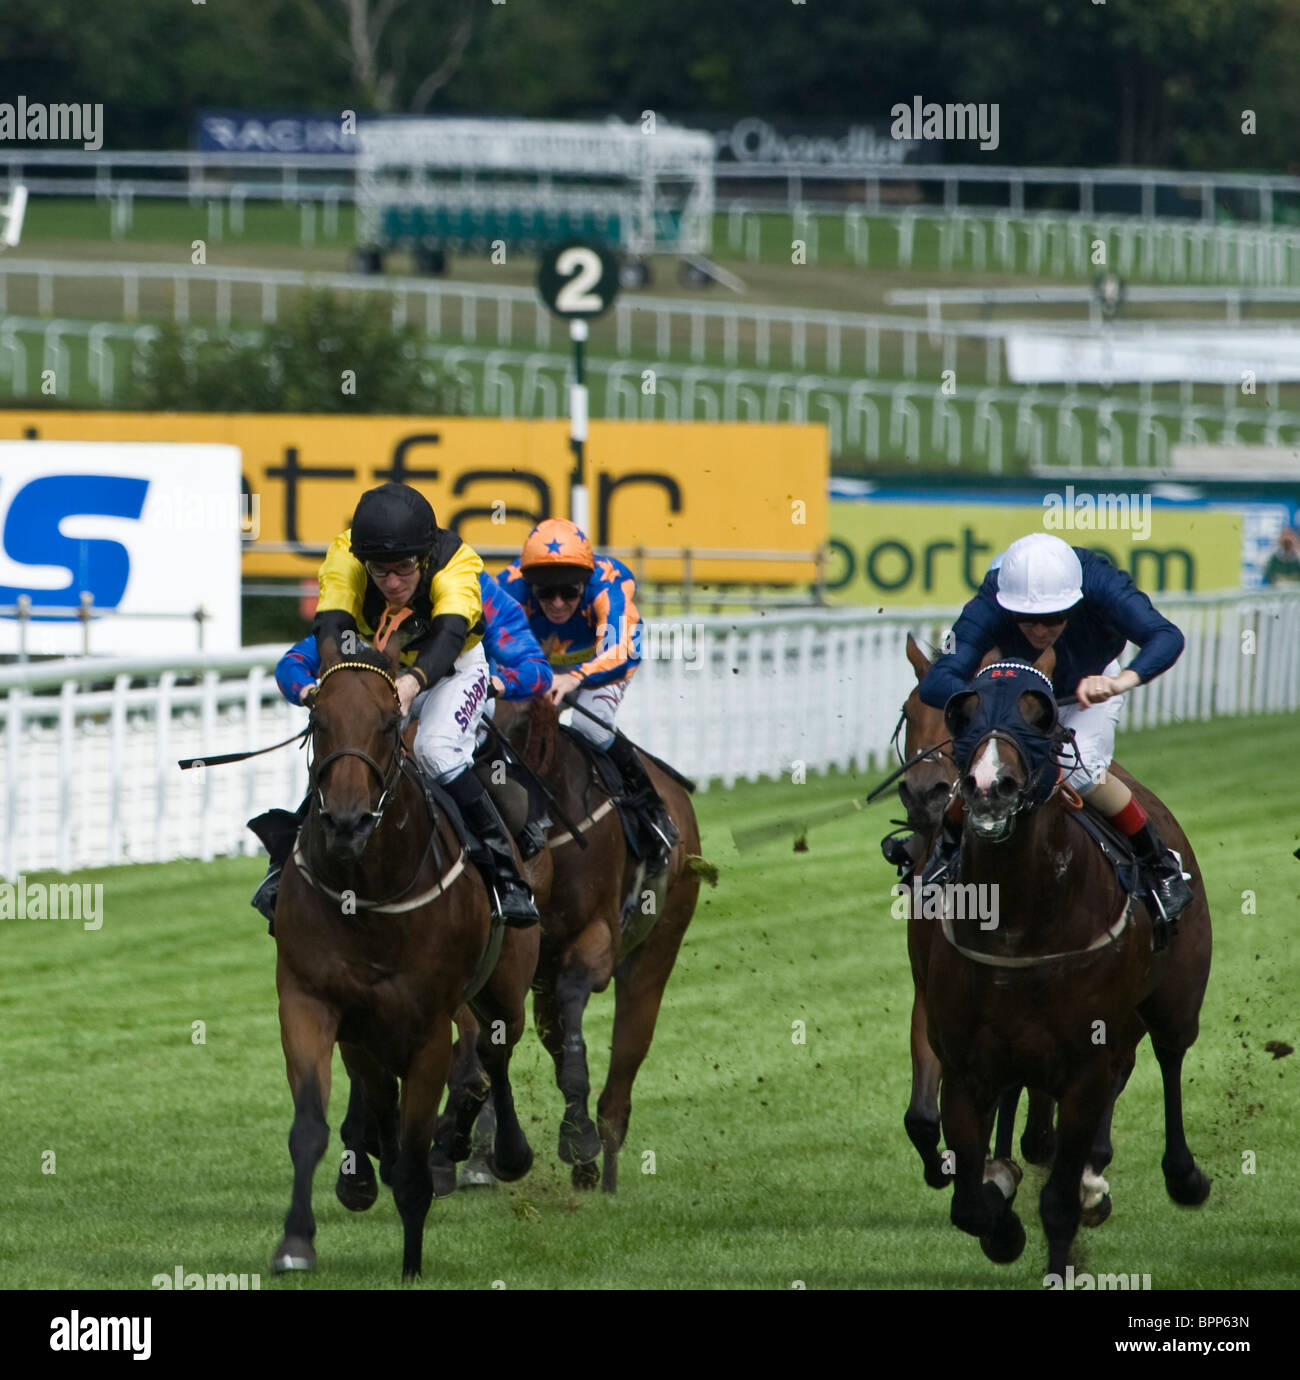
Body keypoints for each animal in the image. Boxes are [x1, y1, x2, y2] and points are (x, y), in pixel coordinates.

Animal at [271, 637, 538, 1280]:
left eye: (388, 724)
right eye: (318, 720)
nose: (345, 822)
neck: (368, 890)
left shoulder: (429, 1029)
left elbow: (418, 1158)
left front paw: (411, 1262)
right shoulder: (313, 1002)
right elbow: (310, 1126)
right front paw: (296, 1241)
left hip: (503, 991)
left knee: (495, 1056)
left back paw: (507, 1152)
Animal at [927, 645, 1208, 1269]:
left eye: (1040, 716)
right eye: (964, 713)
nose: (989, 786)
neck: (1015, 920)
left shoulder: (1085, 1064)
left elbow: (1056, 1202)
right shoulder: (964, 1065)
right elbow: (968, 1206)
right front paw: (1002, 1219)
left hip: (1176, 1000)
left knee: (1168, 1058)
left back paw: (1179, 1176)